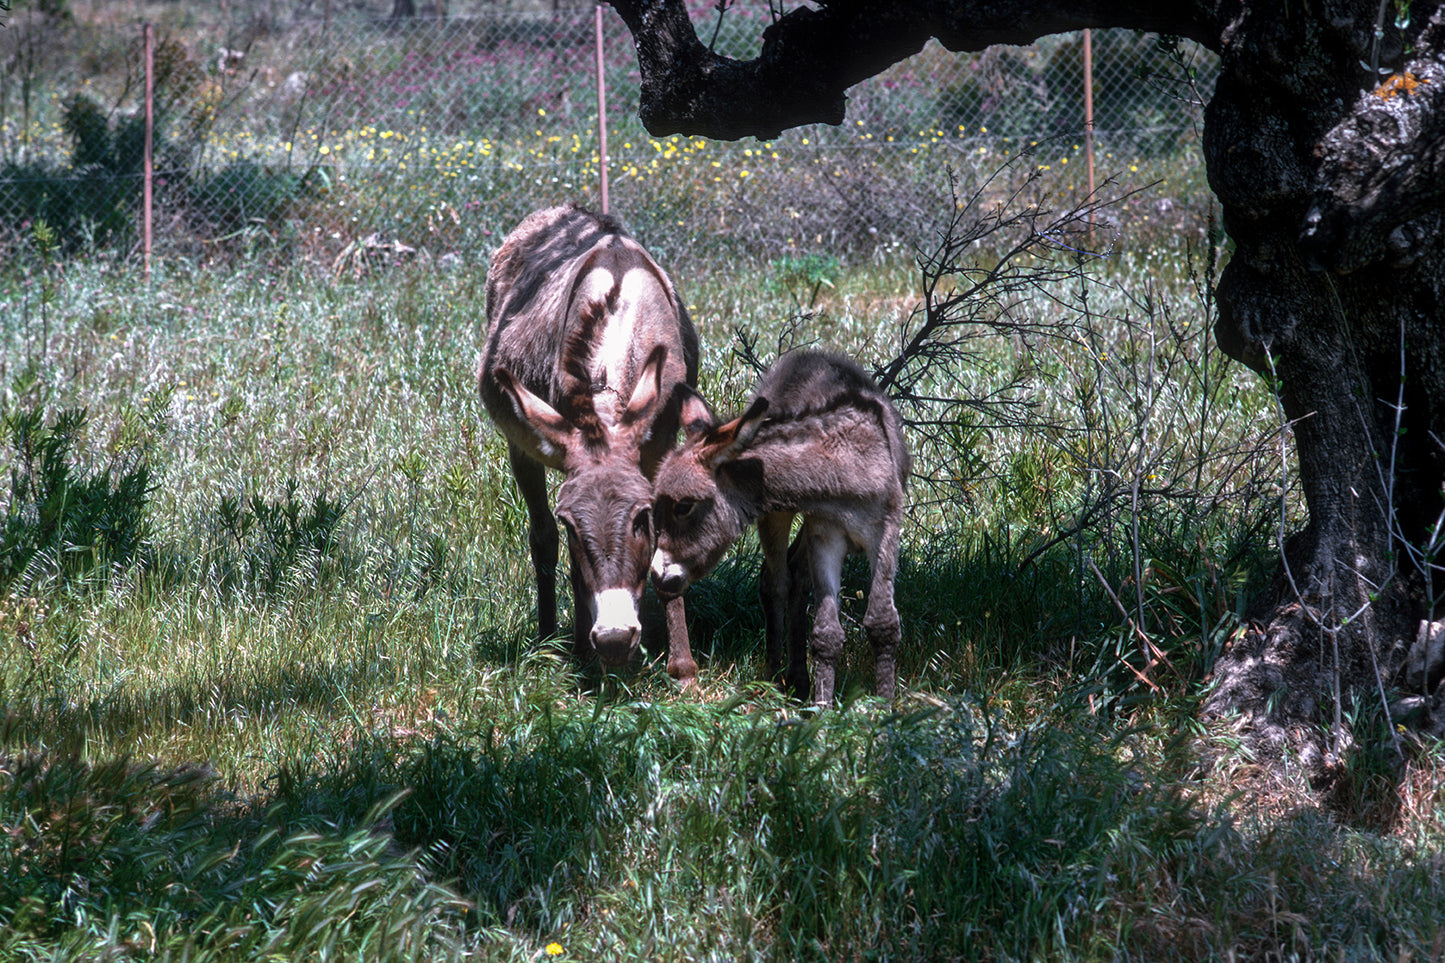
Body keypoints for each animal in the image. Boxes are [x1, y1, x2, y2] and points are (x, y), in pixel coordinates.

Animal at [653, 348, 907, 702]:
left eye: (683, 506)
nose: (656, 576)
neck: (846, 464)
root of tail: (809, 355)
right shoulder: (825, 533)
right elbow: (826, 631)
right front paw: (822, 708)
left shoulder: (885, 530)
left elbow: (883, 623)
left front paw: (885, 706)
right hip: (777, 513)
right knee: (776, 582)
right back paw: (776, 679)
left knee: (795, 576)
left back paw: (797, 679)